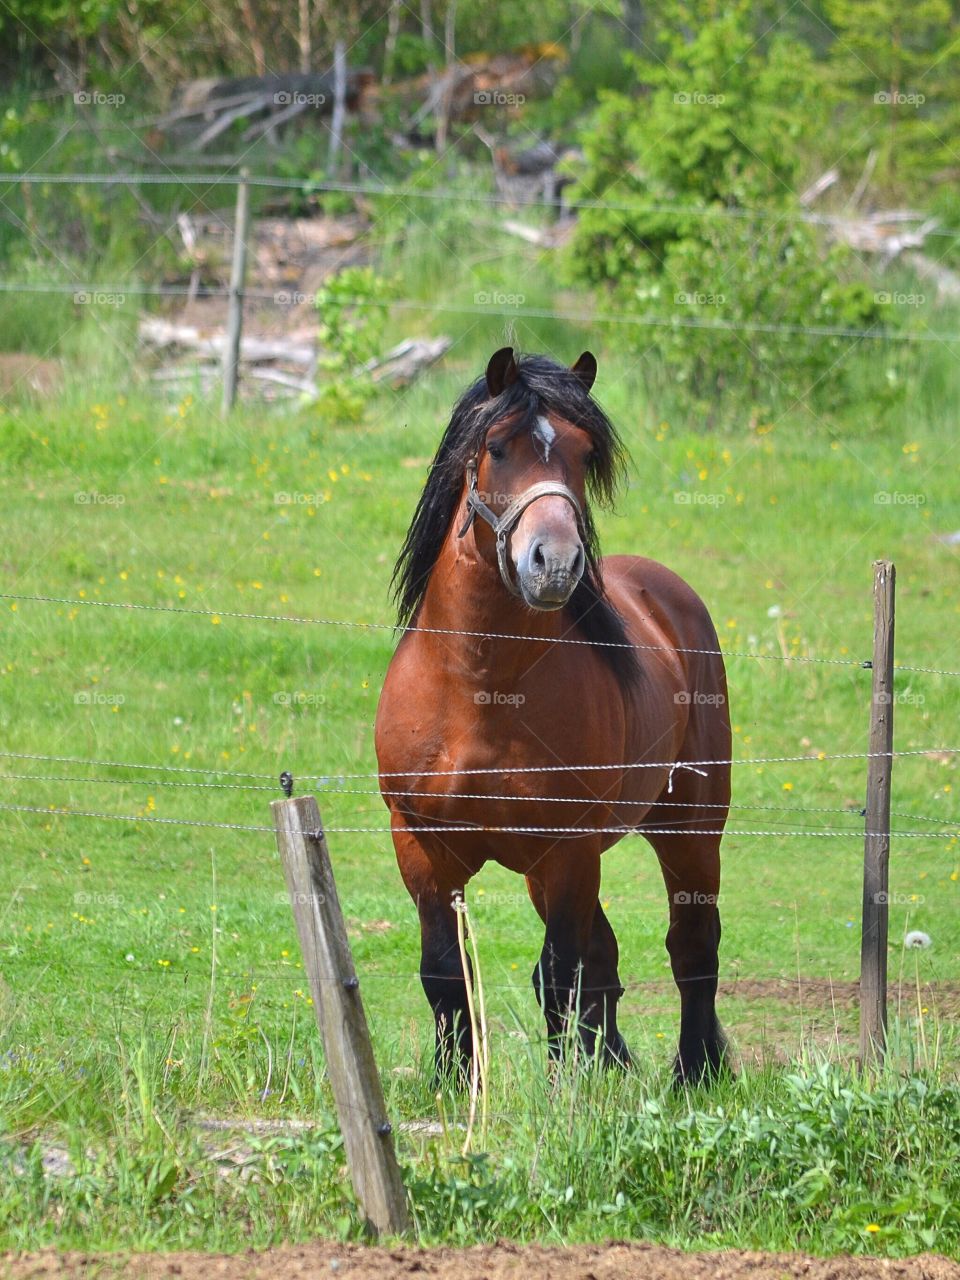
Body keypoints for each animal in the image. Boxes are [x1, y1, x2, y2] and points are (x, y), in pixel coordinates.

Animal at [373, 348, 727, 1080]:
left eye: (584, 453)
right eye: (496, 448)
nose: (556, 562)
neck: (482, 690)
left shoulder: (566, 847)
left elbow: (560, 971)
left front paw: (562, 1087)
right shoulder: (421, 845)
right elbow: (445, 969)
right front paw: (454, 1082)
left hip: (689, 832)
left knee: (692, 947)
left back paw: (694, 1072)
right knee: (608, 954)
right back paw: (612, 1063)